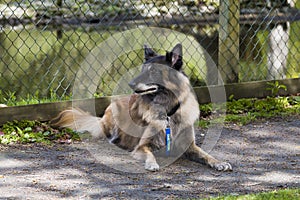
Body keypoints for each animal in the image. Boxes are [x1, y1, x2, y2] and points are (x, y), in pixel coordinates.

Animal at [51, 43, 233, 172]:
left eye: (153, 71)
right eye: (142, 69)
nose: (131, 84)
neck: (168, 112)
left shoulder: (189, 146)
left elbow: (206, 155)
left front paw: (219, 162)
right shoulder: (142, 146)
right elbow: (149, 154)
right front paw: (152, 164)